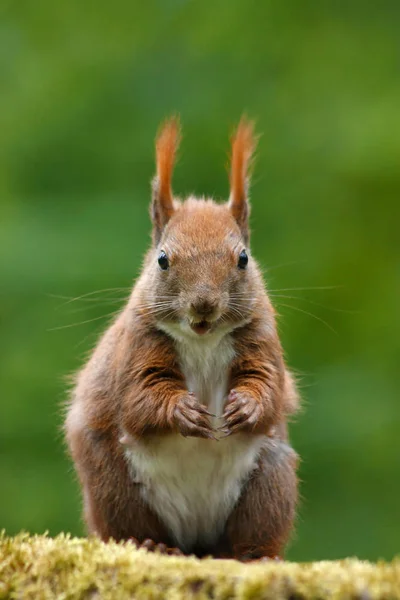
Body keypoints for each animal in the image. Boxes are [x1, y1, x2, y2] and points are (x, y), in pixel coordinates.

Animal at [64, 118, 298, 564]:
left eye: (243, 258)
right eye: (162, 259)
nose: (203, 305)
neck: (203, 340)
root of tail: (197, 541)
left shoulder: (263, 341)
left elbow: (269, 386)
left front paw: (247, 406)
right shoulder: (136, 348)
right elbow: (139, 397)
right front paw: (183, 412)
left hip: (271, 478)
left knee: (249, 531)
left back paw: (255, 555)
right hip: (114, 487)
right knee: (130, 526)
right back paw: (150, 544)